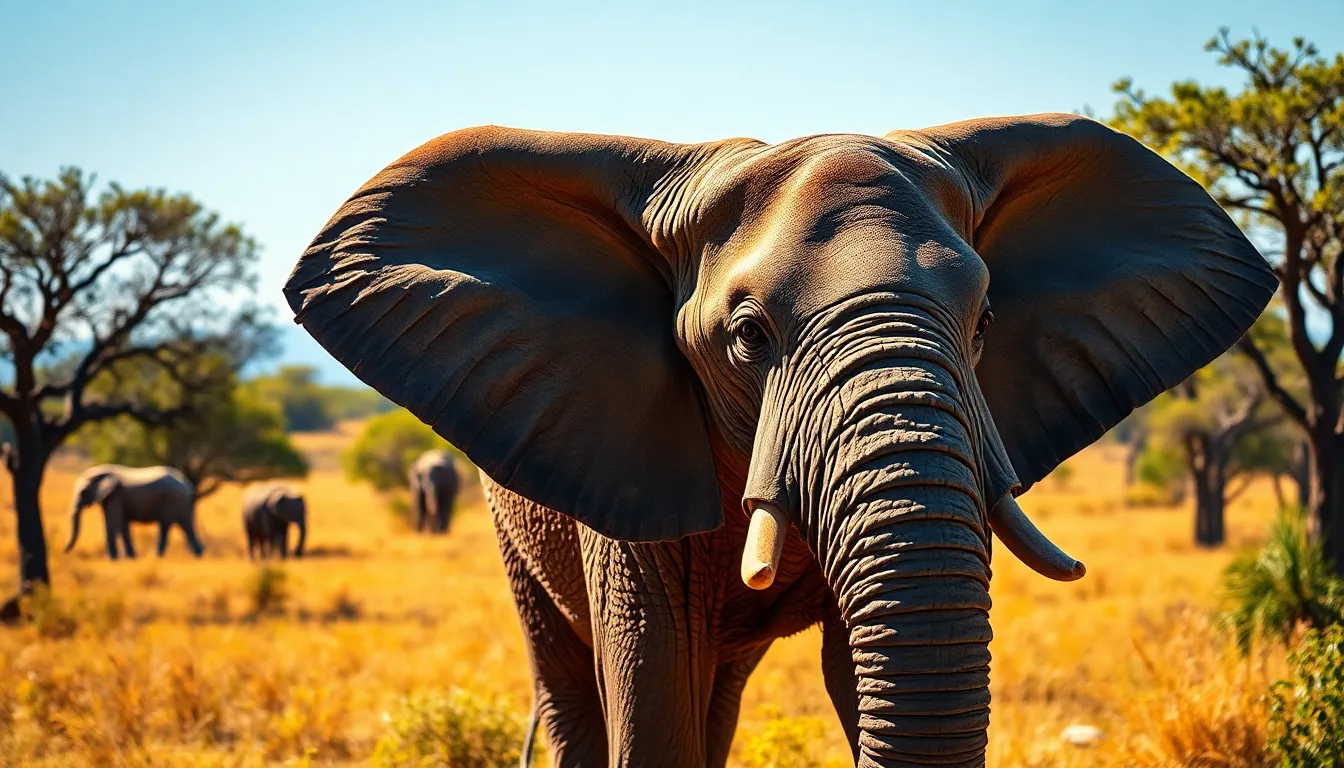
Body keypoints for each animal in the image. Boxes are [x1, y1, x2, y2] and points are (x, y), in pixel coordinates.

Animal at [64, 464, 203, 559]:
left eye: (83, 492)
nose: (64, 551)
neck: (102, 472)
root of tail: (187, 484)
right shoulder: (111, 498)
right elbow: (123, 525)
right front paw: (131, 557)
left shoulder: (115, 496)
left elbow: (113, 524)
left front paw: (112, 559)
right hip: (181, 502)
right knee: (187, 526)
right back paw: (199, 555)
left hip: (174, 500)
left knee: (168, 526)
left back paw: (158, 556)